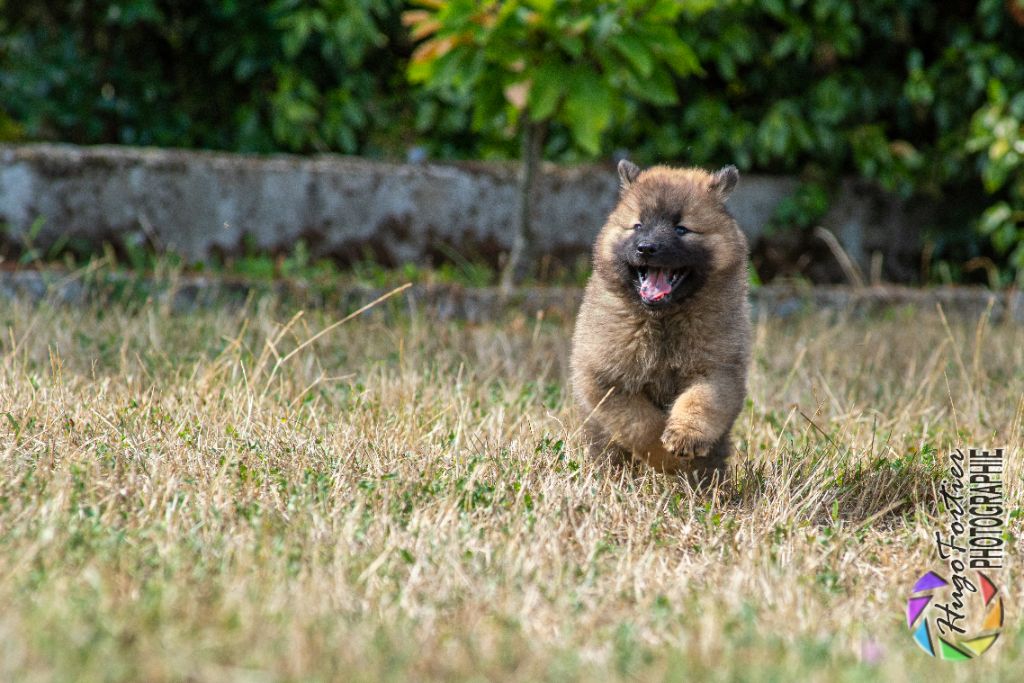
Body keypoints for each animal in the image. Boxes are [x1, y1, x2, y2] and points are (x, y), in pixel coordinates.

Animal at [569, 158, 753, 475]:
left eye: (681, 229)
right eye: (638, 226)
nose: (646, 247)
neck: (663, 319)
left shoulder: (717, 370)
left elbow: (698, 402)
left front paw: (684, 437)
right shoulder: (607, 382)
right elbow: (642, 425)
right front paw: (667, 459)